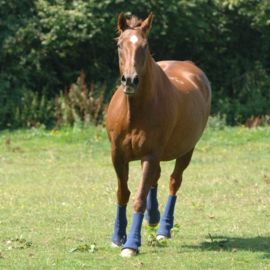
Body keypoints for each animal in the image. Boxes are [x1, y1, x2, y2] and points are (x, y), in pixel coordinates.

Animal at [105, 12, 211, 258]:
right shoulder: (118, 156)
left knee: (173, 182)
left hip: (186, 151)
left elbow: (138, 199)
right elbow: (123, 193)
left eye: (145, 46)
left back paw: (163, 228)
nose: (130, 80)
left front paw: (131, 244)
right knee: (156, 179)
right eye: (119, 45)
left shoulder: (150, 155)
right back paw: (153, 218)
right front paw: (117, 236)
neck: (134, 111)